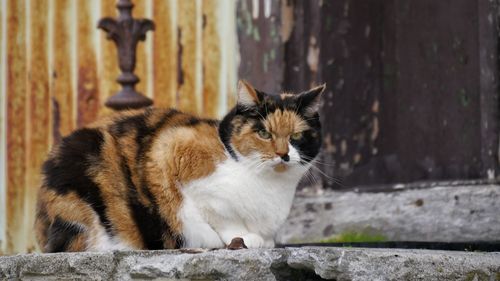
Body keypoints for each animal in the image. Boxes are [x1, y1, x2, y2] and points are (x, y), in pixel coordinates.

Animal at [34, 80, 324, 250]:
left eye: (296, 136)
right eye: (264, 133)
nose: (283, 154)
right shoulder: (170, 149)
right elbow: (220, 215)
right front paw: (245, 238)